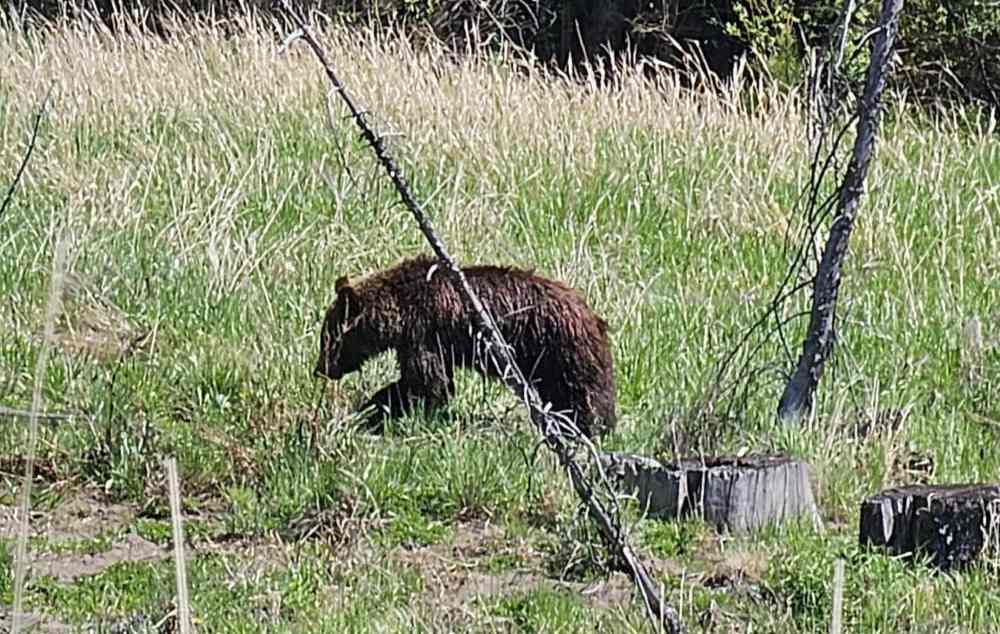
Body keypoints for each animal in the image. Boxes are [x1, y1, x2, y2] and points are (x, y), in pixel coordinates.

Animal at [313, 255, 616, 438]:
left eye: (328, 338)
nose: (320, 369)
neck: (400, 308)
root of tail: (593, 315)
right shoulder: (431, 342)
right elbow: (436, 381)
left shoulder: (423, 332)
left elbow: (425, 382)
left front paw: (375, 409)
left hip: (561, 350)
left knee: (584, 393)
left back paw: (590, 428)